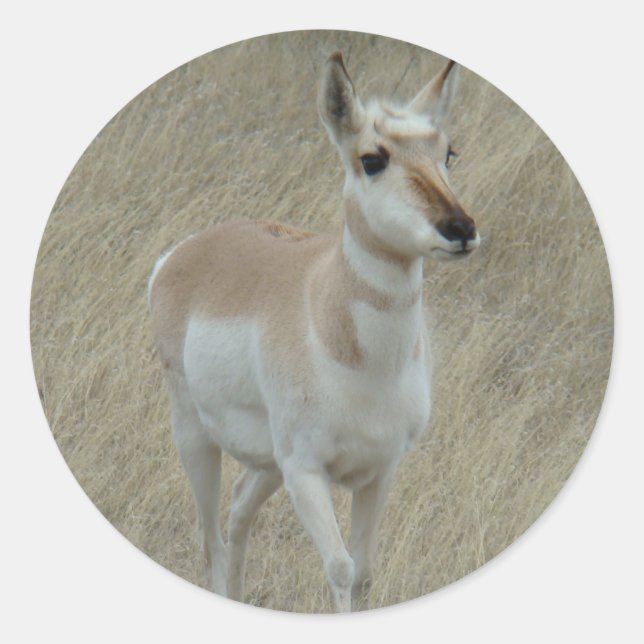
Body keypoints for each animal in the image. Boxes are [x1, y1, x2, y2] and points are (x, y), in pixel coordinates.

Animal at [148, 52, 479, 612]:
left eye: (448, 151)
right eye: (372, 158)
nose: (460, 229)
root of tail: (185, 252)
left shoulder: (380, 470)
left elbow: (364, 573)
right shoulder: (306, 473)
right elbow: (341, 568)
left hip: (266, 465)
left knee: (237, 514)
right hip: (196, 437)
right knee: (211, 538)